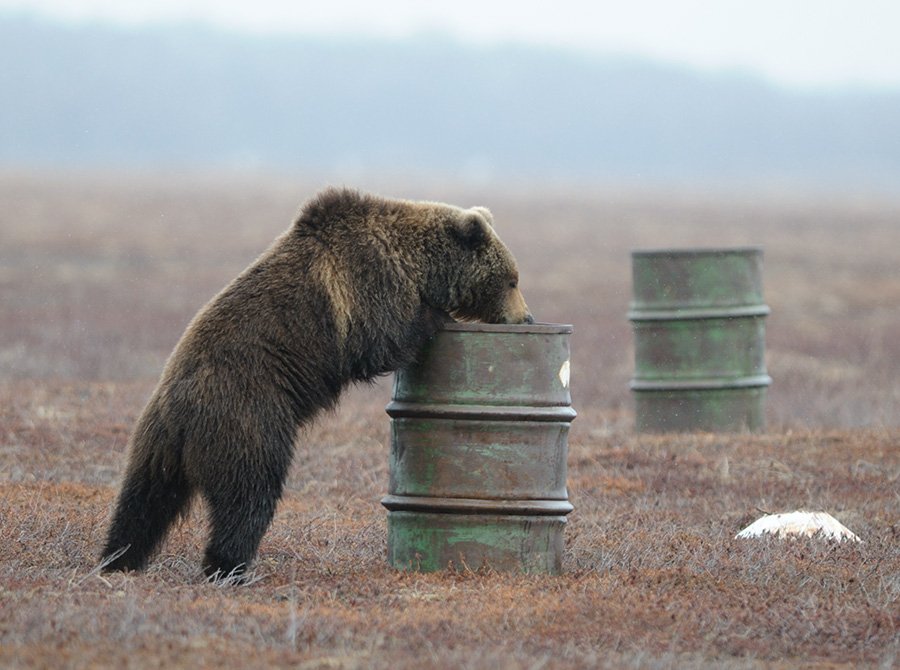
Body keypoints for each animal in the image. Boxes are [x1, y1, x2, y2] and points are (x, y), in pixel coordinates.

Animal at [98, 186, 536, 580]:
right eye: (512, 280)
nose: (526, 318)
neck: (417, 264)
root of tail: (180, 412)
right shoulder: (370, 283)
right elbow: (384, 339)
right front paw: (436, 317)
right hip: (248, 415)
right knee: (249, 493)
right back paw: (228, 567)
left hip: (154, 444)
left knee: (143, 501)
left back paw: (117, 559)